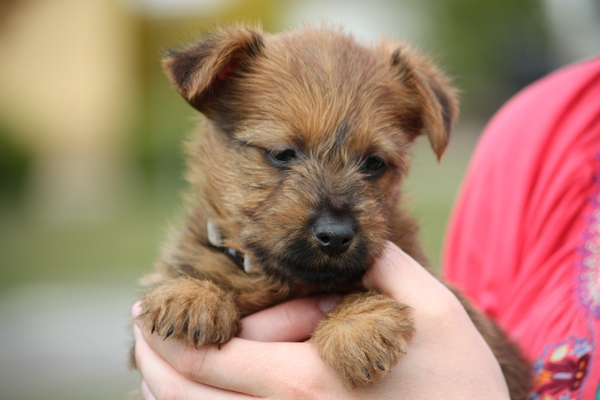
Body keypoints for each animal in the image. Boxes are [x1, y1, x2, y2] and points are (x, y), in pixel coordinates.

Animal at [135, 24, 528, 396]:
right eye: (282, 153)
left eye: (374, 163)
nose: (336, 236)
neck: (286, 283)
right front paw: (190, 295)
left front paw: (358, 326)